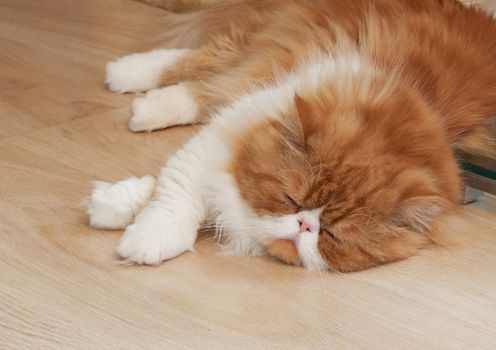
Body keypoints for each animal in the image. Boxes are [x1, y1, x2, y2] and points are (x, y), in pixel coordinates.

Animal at [86, 0, 496, 272]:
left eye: (332, 235)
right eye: (290, 200)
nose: (304, 225)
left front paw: (114, 210)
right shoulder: (243, 114)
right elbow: (177, 192)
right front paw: (144, 231)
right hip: (264, 46)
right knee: (198, 64)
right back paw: (129, 79)